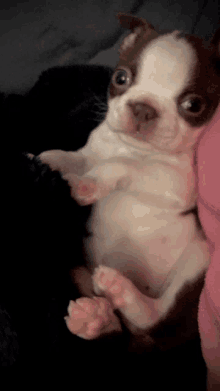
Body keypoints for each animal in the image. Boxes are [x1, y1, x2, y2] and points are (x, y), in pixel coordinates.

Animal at [38, 14, 220, 352]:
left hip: (199, 260)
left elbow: (126, 166)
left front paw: (90, 184)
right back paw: (94, 319)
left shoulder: (177, 183)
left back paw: (120, 290)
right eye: (120, 78)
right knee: (118, 327)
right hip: (78, 271)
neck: (131, 147)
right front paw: (43, 161)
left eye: (193, 105)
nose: (143, 108)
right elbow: (69, 158)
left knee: (152, 317)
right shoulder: (91, 153)